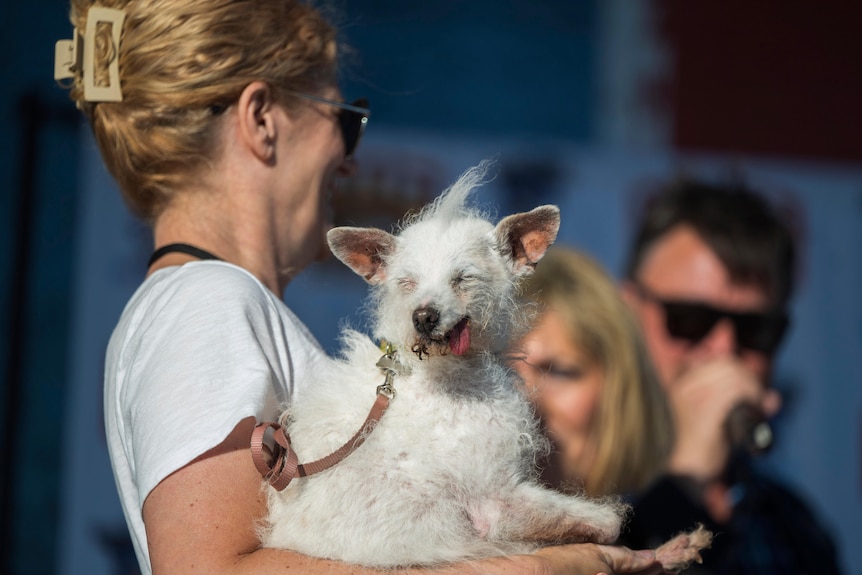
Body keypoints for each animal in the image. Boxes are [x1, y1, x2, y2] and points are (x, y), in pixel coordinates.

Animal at [258, 162, 716, 572]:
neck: (445, 375)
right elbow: (608, 522)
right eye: (407, 283)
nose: (423, 316)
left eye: (464, 279)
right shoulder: (494, 502)